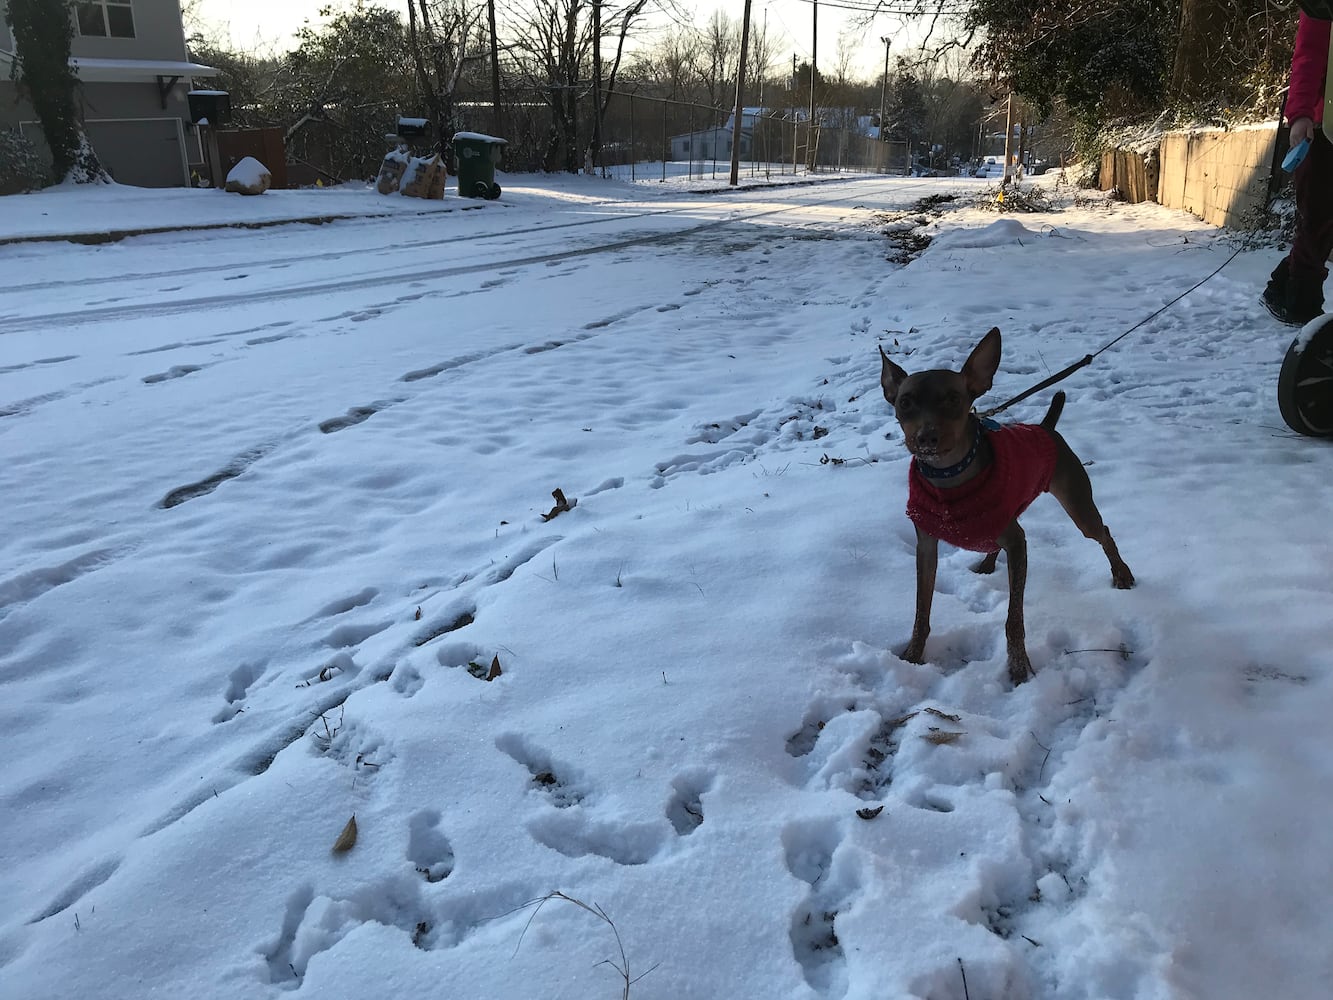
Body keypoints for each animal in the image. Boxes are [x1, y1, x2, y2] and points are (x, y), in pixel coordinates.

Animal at [879, 329, 1130, 688]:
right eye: (905, 402)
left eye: (953, 399)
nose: (926, 438)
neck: (948, 478)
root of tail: (1046, 428)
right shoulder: (926, 545)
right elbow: (921, 610)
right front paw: (913, 655)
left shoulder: (1018, 543)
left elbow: (1014, 619)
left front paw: (1018, 667)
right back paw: (987, 561)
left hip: (1077, 504)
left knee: (1103, 532)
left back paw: (1121, 573)